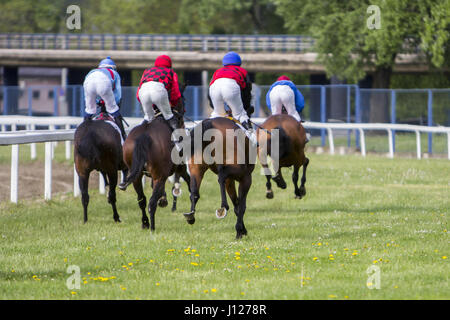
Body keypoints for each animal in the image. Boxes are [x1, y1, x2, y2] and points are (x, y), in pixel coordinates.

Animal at [118, 85, 190, 230]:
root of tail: (144, 136)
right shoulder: (179, 167)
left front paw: (163, 199)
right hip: (160, 174)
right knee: (151, 202)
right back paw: (152, 228)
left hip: (137, 176)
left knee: (142, 200)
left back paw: (145, 223)